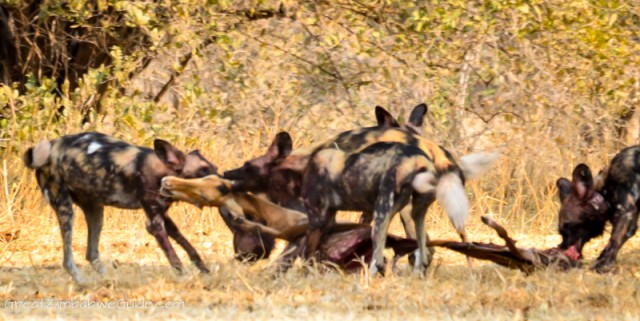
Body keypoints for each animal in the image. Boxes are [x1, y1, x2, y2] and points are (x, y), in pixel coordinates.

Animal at [23, 131, 218, 282]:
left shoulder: (163, 217)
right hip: (66, 209)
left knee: (91, 254)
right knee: (68, 260)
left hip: (95, 211)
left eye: (214, 168)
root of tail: (50, 146)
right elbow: (174, 256)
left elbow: (188, 246)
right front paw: (185, 276)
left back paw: (108, 279)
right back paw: (83, 282)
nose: (222, 181)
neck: (162, 172)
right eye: (203, 171)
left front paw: (204, 271)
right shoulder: (154, 224)